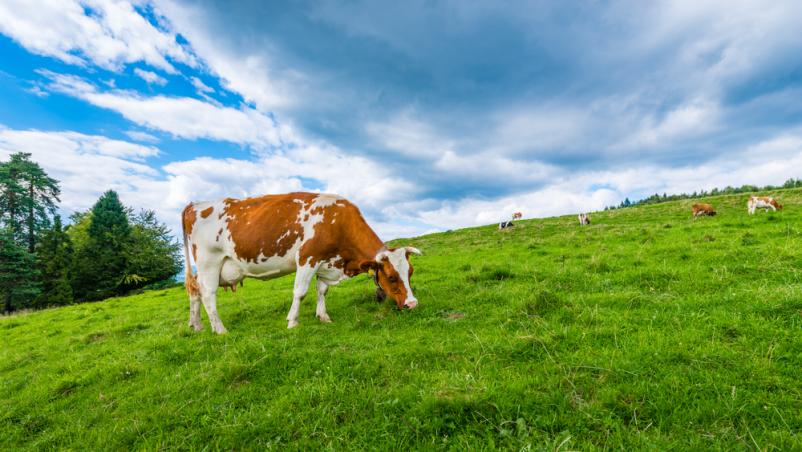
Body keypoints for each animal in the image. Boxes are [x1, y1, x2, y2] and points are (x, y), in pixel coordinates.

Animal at [180, 192, 418, 334]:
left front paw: (323, 316)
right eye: (391, 277)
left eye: (410, 273)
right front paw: (292, 321)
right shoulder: (307, 258)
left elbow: (322, 290)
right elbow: (300, 292)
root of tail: (194, 205)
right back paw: (220, 329)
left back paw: (197, 325)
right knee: (208, 294)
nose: (413, 303)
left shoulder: (326, 263)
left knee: (194, 290)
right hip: (209, 262)